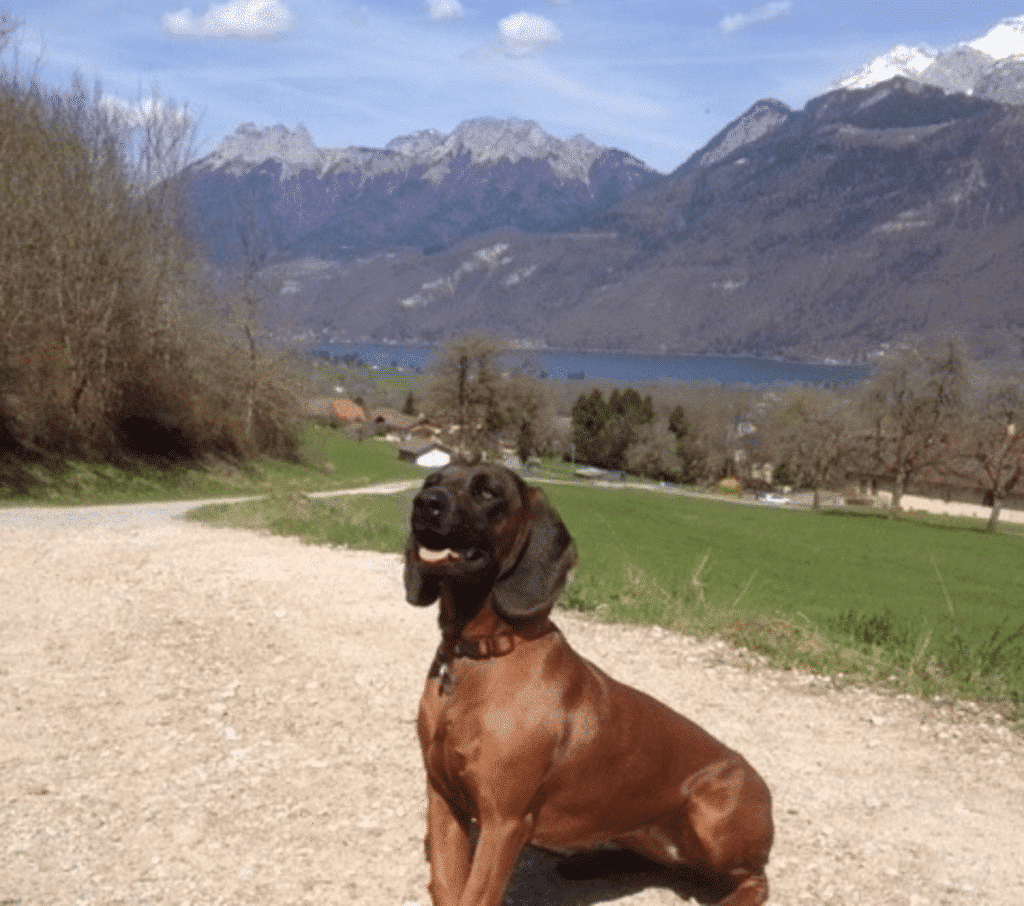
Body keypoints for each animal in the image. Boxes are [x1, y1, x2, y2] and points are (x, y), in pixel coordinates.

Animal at [403, 462, 770, 904]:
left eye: (488, 492)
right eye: (433, 481)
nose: (424, 503)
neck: (483, 655)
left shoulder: (503, 822)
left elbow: (475, 894)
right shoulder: (443, 799)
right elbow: (446, 883)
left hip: (710, 823)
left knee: (755, 879)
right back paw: (592, 861)